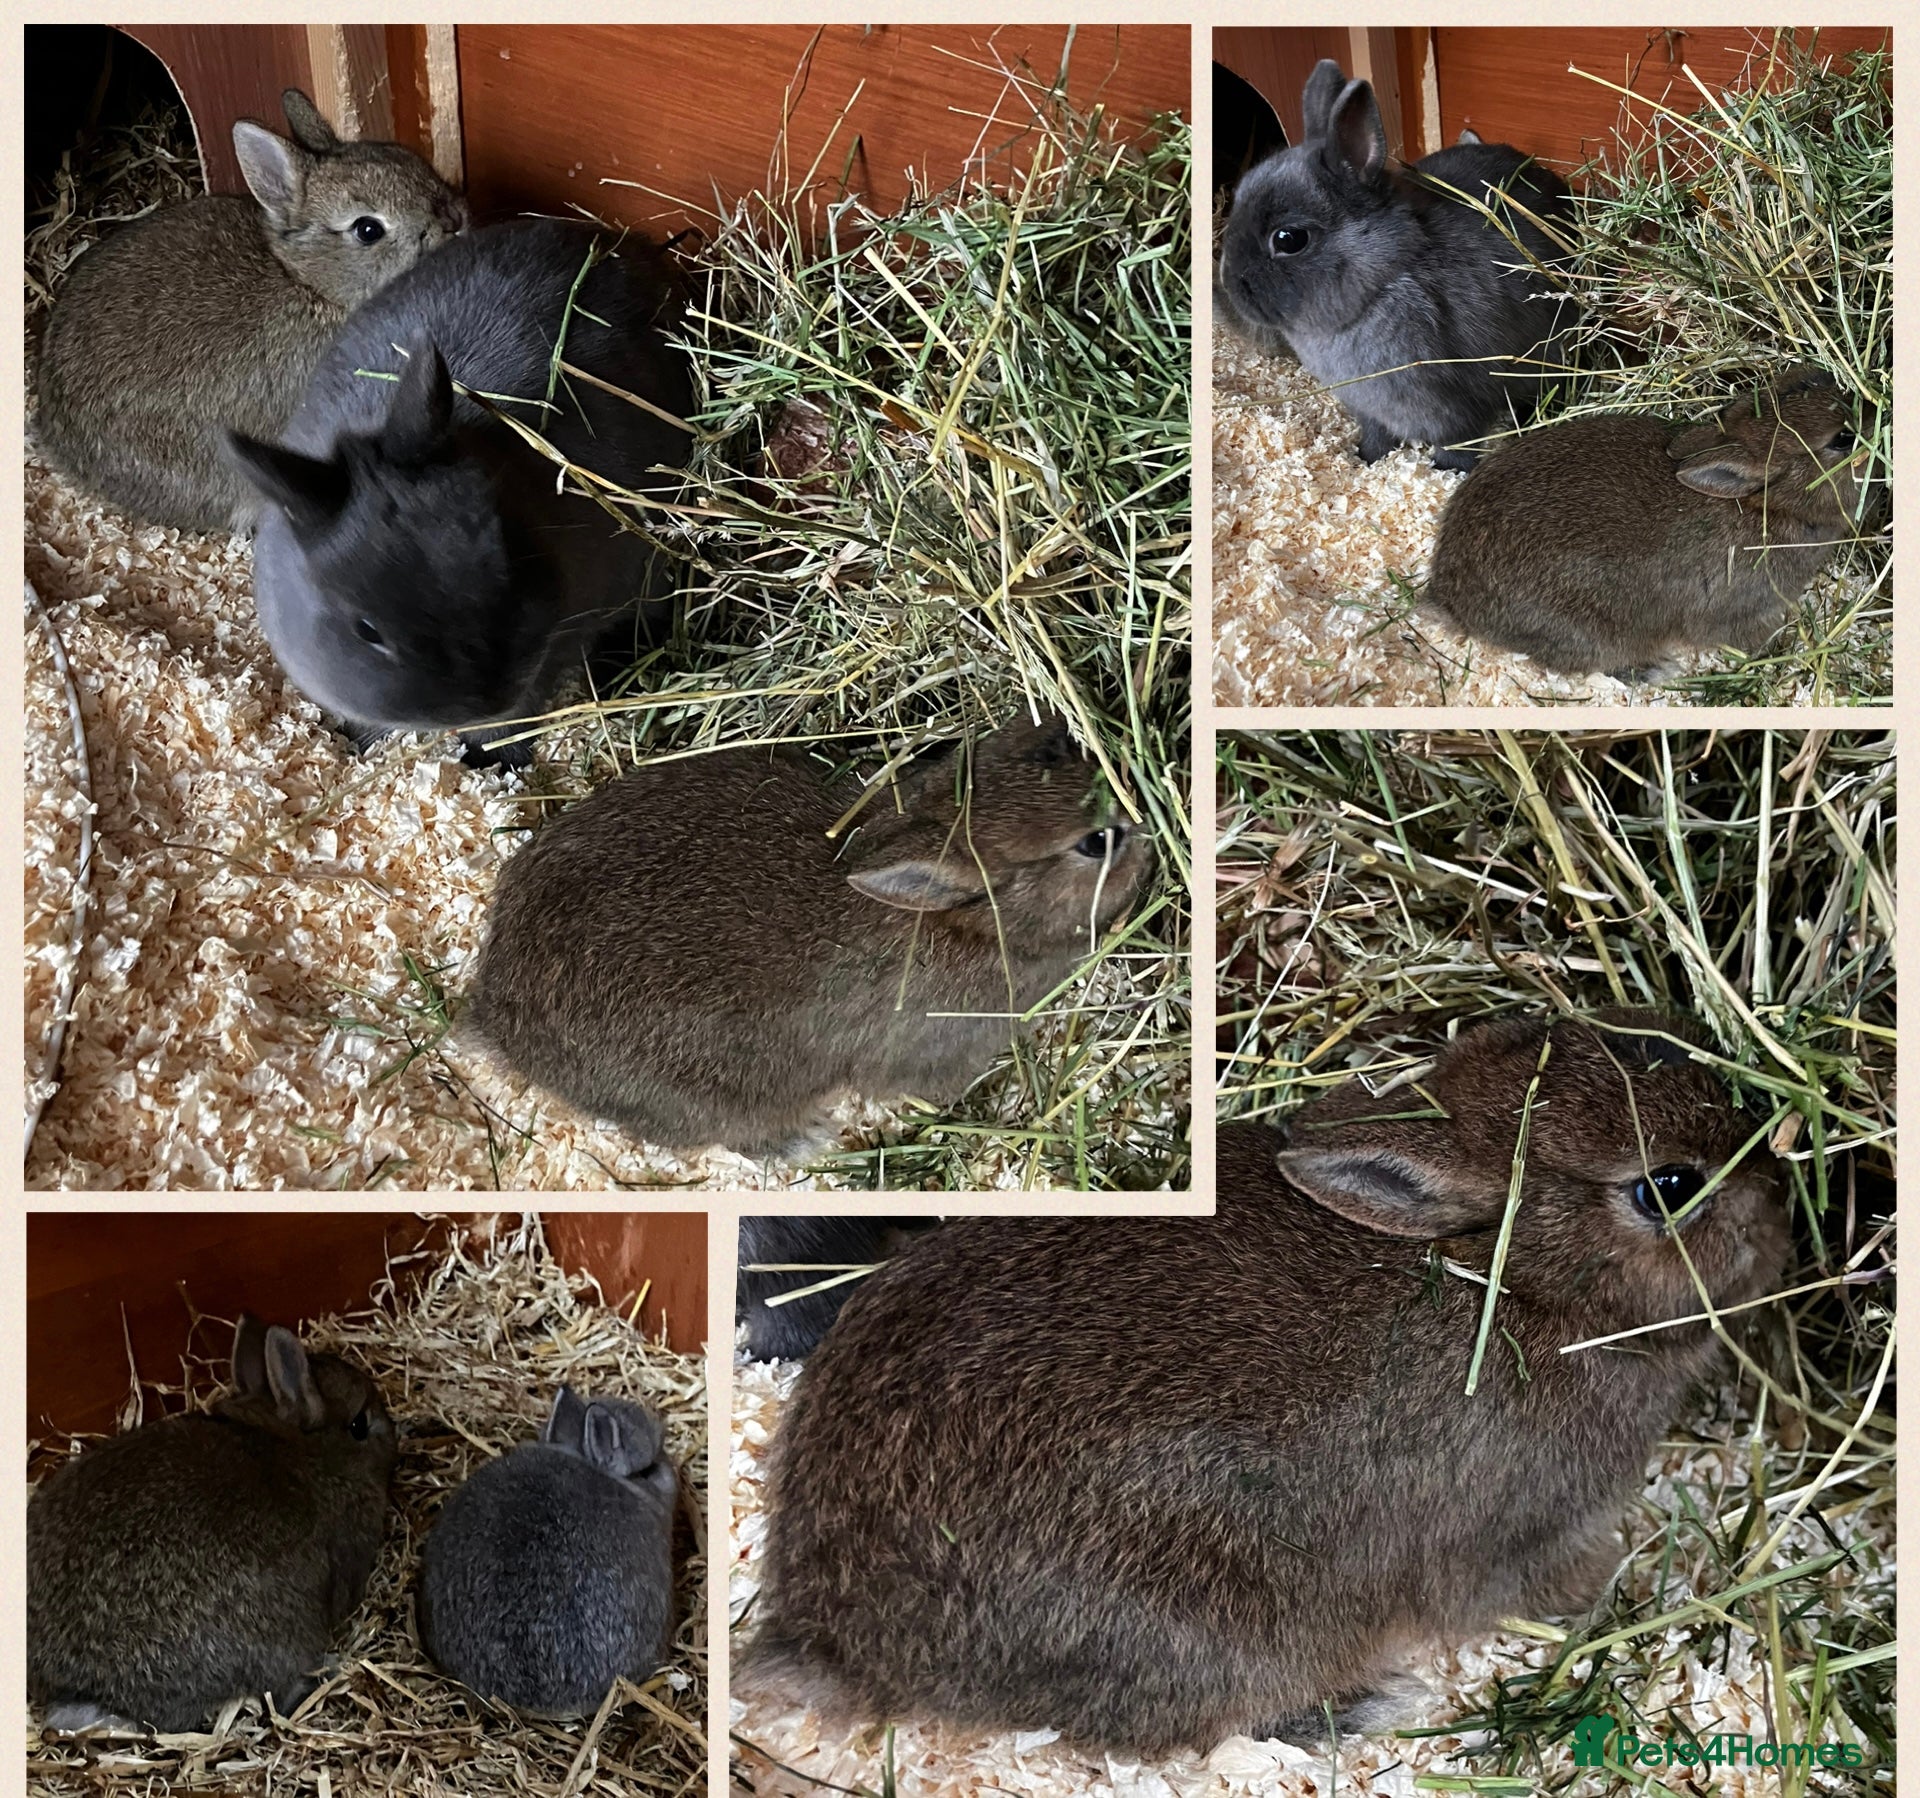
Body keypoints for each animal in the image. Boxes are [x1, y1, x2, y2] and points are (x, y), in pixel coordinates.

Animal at [229, 215, 695, 749]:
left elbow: (517, 719)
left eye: (505, 558)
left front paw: (493, 754)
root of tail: (625, 247)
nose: (488, 697)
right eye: (367, 631)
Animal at [1217, 59, 1574, 470]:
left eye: (1288, 239)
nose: (1229, 283)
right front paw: (1365, 459)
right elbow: (1377, 436)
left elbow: (1457, 444)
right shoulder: (1370, 410)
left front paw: (1449, 473)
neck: (1383, 280)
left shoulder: (1452, 408)